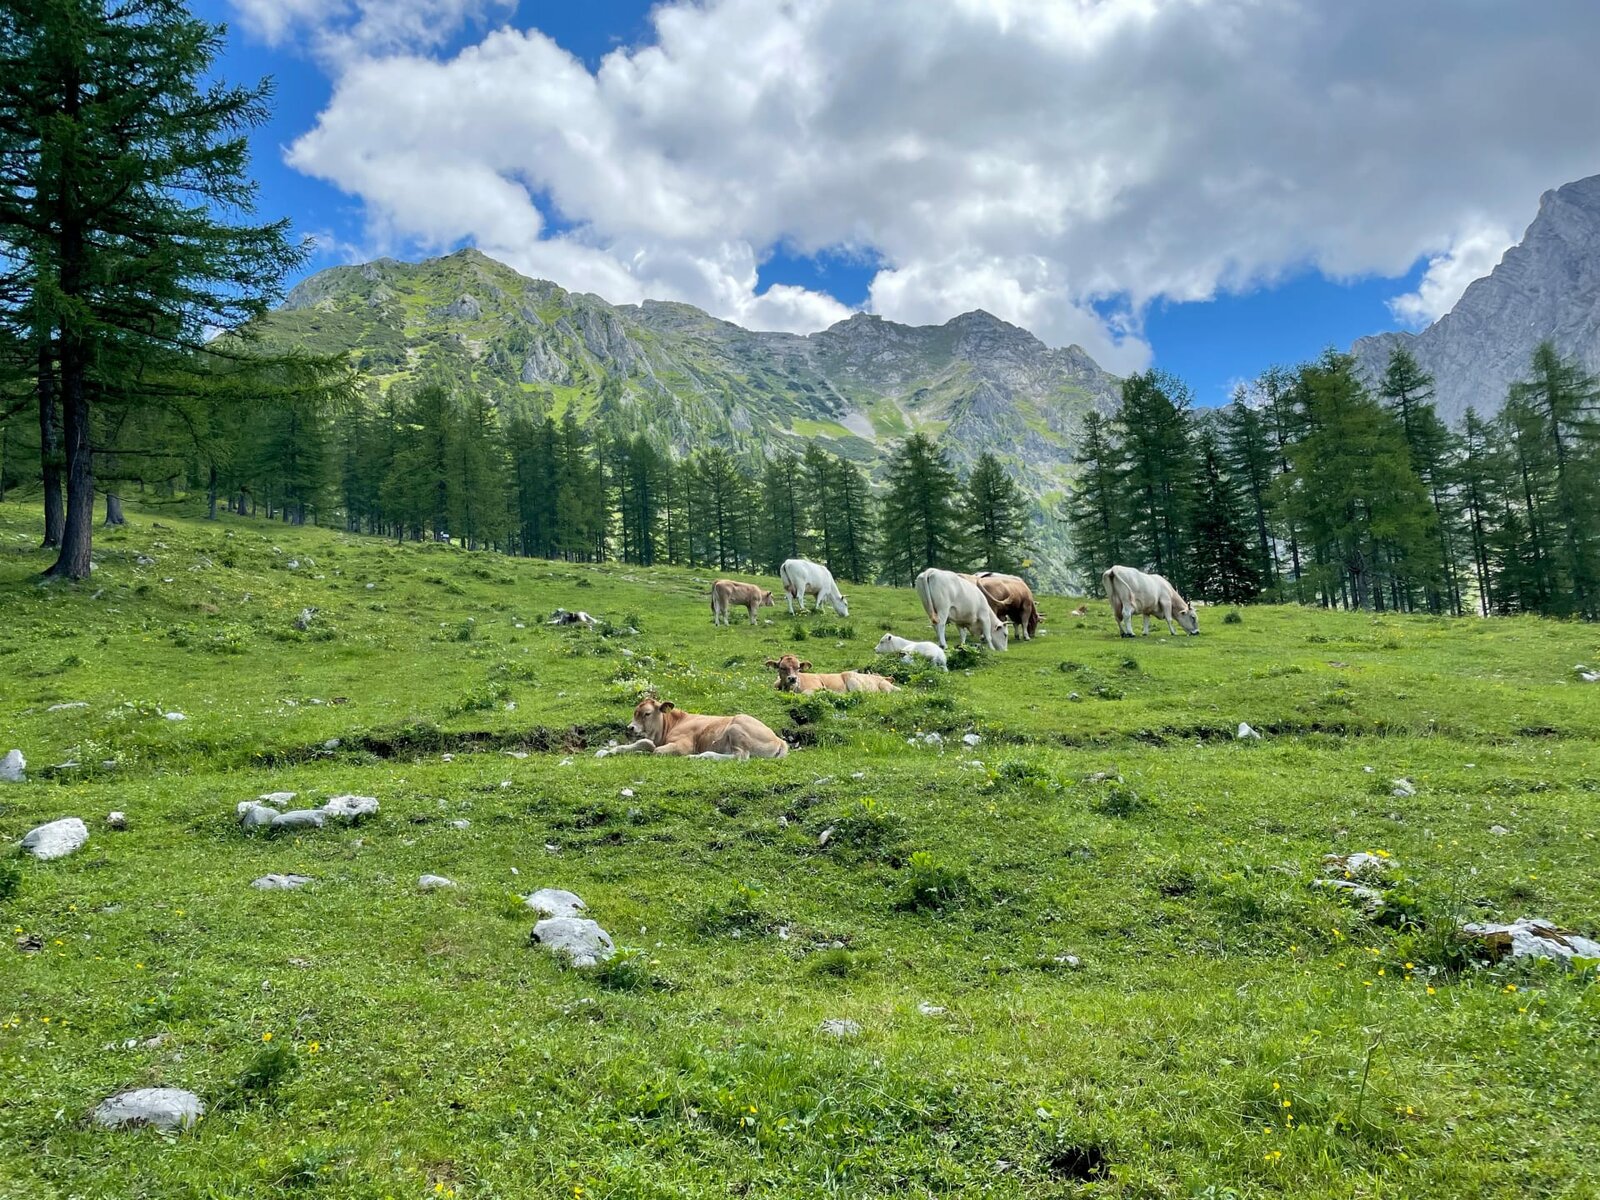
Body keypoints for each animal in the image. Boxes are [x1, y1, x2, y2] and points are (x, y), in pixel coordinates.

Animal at [599, 696, 790, 759]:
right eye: (635, 712)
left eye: (646, 713)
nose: (630, 728)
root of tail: (778, 738)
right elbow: (644, 744)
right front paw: (609, 751)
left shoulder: (684, 745)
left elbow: (655, 751)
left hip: (736, 728)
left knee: (740, 757)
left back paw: (700, 756)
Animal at [765, 653, 898, 694]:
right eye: (782, 667)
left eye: (798, 668)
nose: (792, 678)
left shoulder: (815, 686)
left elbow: (806, 693)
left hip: (851, 679)